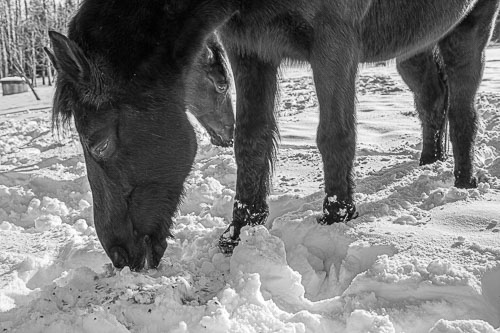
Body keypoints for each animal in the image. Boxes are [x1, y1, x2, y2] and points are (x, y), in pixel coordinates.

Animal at [47, 0, 500, 268]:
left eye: (98, 143)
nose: (119, 254)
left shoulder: (334, 40)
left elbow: (334, 134)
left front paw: (337, 217)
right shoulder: (250, 48)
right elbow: (251, 140)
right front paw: (240, 232)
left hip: (470, 28)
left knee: (461, 108)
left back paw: (464, 185)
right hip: (413, 45)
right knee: (431, 98)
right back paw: (430, 161)